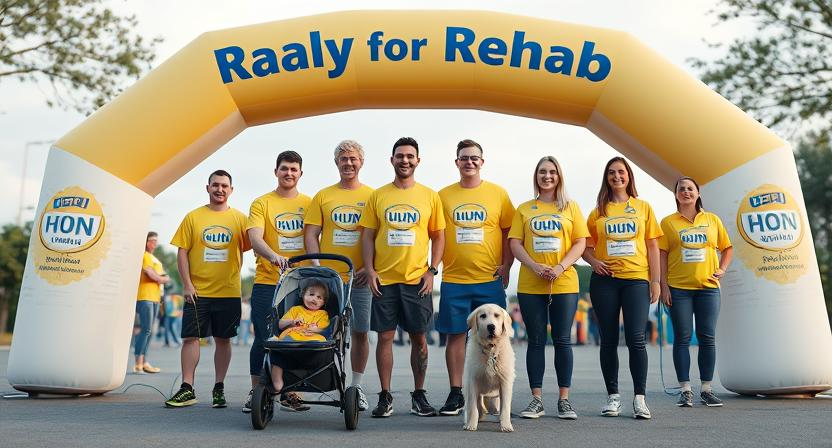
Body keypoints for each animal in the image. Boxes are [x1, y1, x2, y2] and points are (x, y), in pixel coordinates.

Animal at [462, 302, 512, 432]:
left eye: (497, 315)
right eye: (483, 316)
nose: (491, 327)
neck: (490, 350)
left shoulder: (505, 382)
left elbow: (505, 407)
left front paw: (506, 425)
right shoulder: (473, 381)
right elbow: (473, 407)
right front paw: (471, 424)